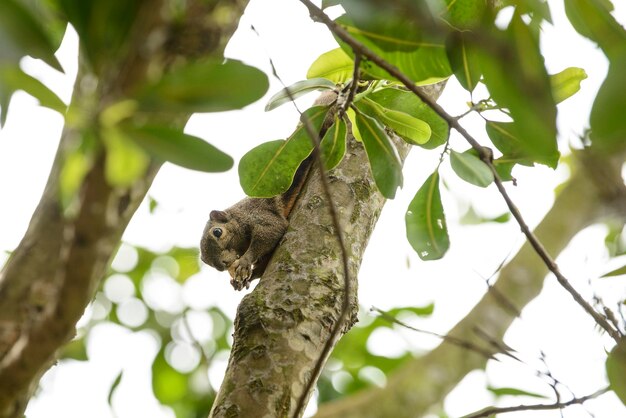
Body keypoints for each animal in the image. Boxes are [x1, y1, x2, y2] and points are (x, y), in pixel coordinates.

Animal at [200, 90, 336, 290]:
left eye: (217, 232)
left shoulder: (259, 213)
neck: (238, 216)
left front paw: (245, 262)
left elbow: (272, 230)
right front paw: (243, 278)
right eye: (207, 261)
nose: (223, 265)